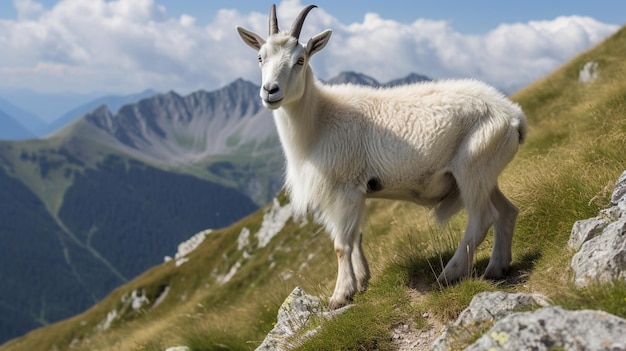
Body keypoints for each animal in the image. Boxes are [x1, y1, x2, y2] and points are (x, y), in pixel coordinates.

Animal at [236, 4, 524, 310]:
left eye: (300, 60)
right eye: (260, 57)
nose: (270, 91)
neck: (319, 120)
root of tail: (514, 116)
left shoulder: (345, 187)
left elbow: (341, 245)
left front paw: (340, 295)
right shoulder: (355, 192)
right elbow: (356, 238)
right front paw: (362, 282)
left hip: (472, 169)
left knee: (482, 219)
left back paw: (450, 274)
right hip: (485, 173)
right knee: (507, 211)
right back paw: (496, 268)